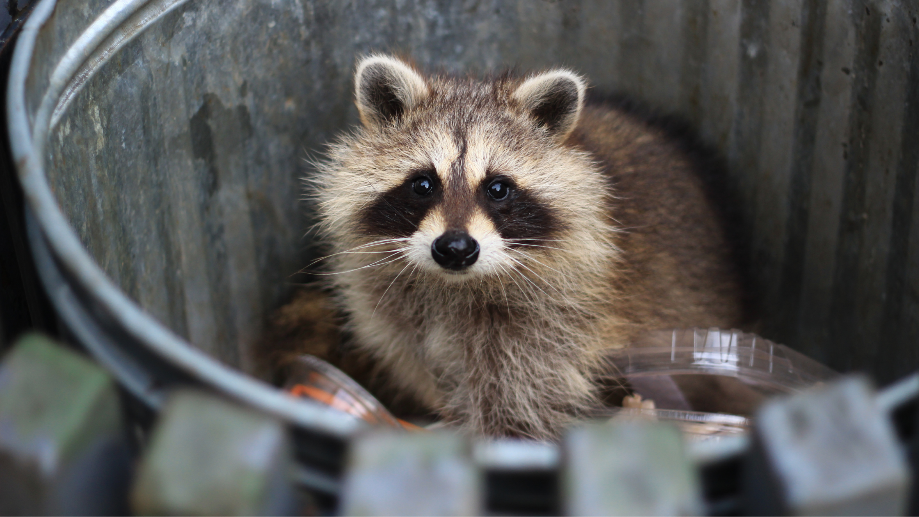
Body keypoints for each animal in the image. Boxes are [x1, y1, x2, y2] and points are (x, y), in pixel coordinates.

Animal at [298, 54, 752, 438]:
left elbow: (520, 401)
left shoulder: (556, 322)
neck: (455, 286)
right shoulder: (393, 309)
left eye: (498, 188)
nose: (456, 248)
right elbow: (418, 362)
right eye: (422, 184)